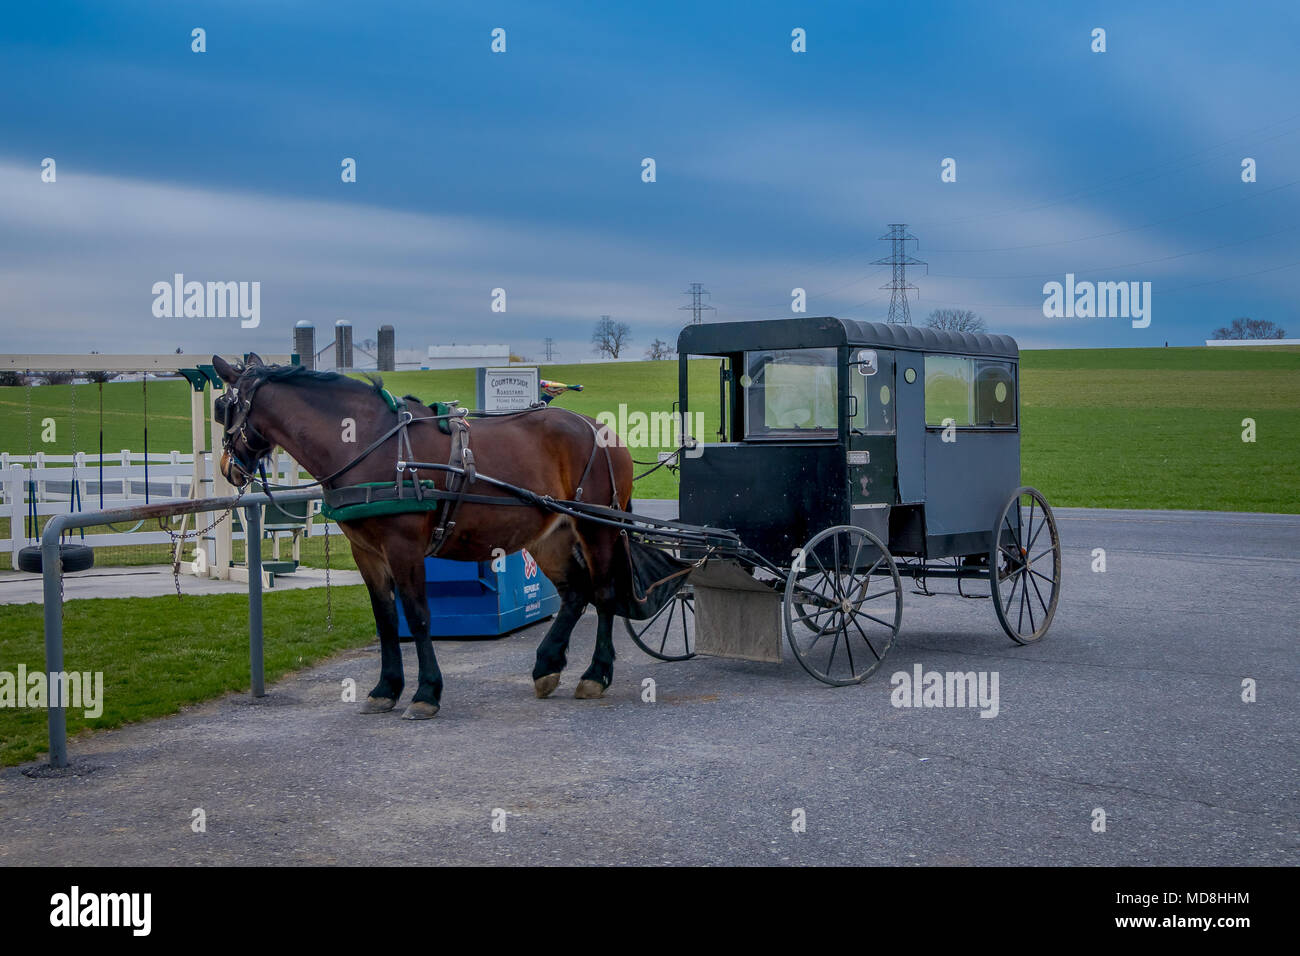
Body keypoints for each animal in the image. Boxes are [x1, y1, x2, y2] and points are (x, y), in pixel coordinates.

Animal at [211, 353, 634, 717]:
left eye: (221, 407)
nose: (227, 467)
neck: (368, 442)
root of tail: (600, 429)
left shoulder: (404, 548)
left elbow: (417, 617)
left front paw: (426, 692)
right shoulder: (366, 551)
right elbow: (386, 619)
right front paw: (386, 688)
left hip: (597, 527)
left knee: (603, 594)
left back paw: (596, 674)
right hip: (551, 535)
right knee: (575, 593)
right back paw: (548, 665)